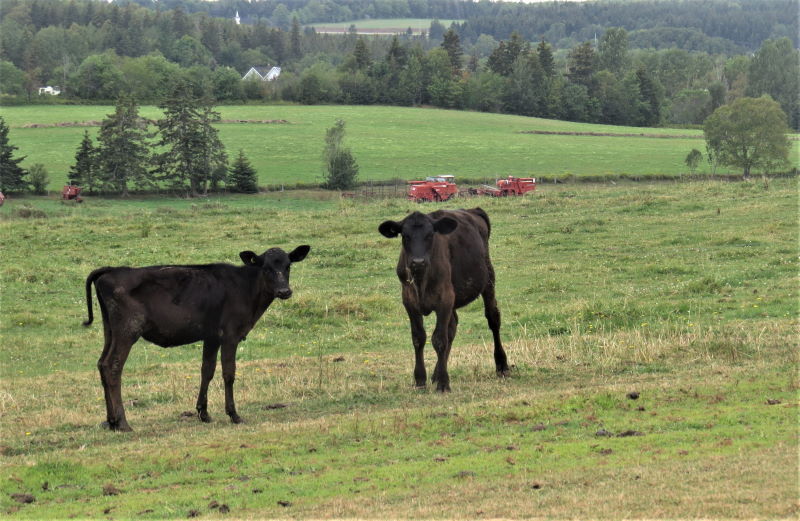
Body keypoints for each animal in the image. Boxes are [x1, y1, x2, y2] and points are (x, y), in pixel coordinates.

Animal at [83, 245, 310, 432]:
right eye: (266, 268)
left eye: (288, 266)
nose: (284, 291)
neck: (245, 288)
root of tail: (113, 270)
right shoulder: (230, 335)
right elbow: (228, 373)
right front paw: (233, 414)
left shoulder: (211, 337)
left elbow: (207, 370)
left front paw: (204, 412)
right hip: (128, 330)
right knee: (113, 366)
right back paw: (122, 422)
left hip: (110, 330)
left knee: (102, 363)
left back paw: (111, 421)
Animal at [378, 208, 509, 392]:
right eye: (405, 235)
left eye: (430, 235)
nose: (418, 262)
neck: (421, 280)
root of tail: (473, 210)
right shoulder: (409, 301)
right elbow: (418, 338)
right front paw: (420, 379)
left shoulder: (444, 299)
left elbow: (439, 339)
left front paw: (443, 383)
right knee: (452, 326)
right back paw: (436, 373)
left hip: (488, 280)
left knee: (493, 319)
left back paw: (502, 365)